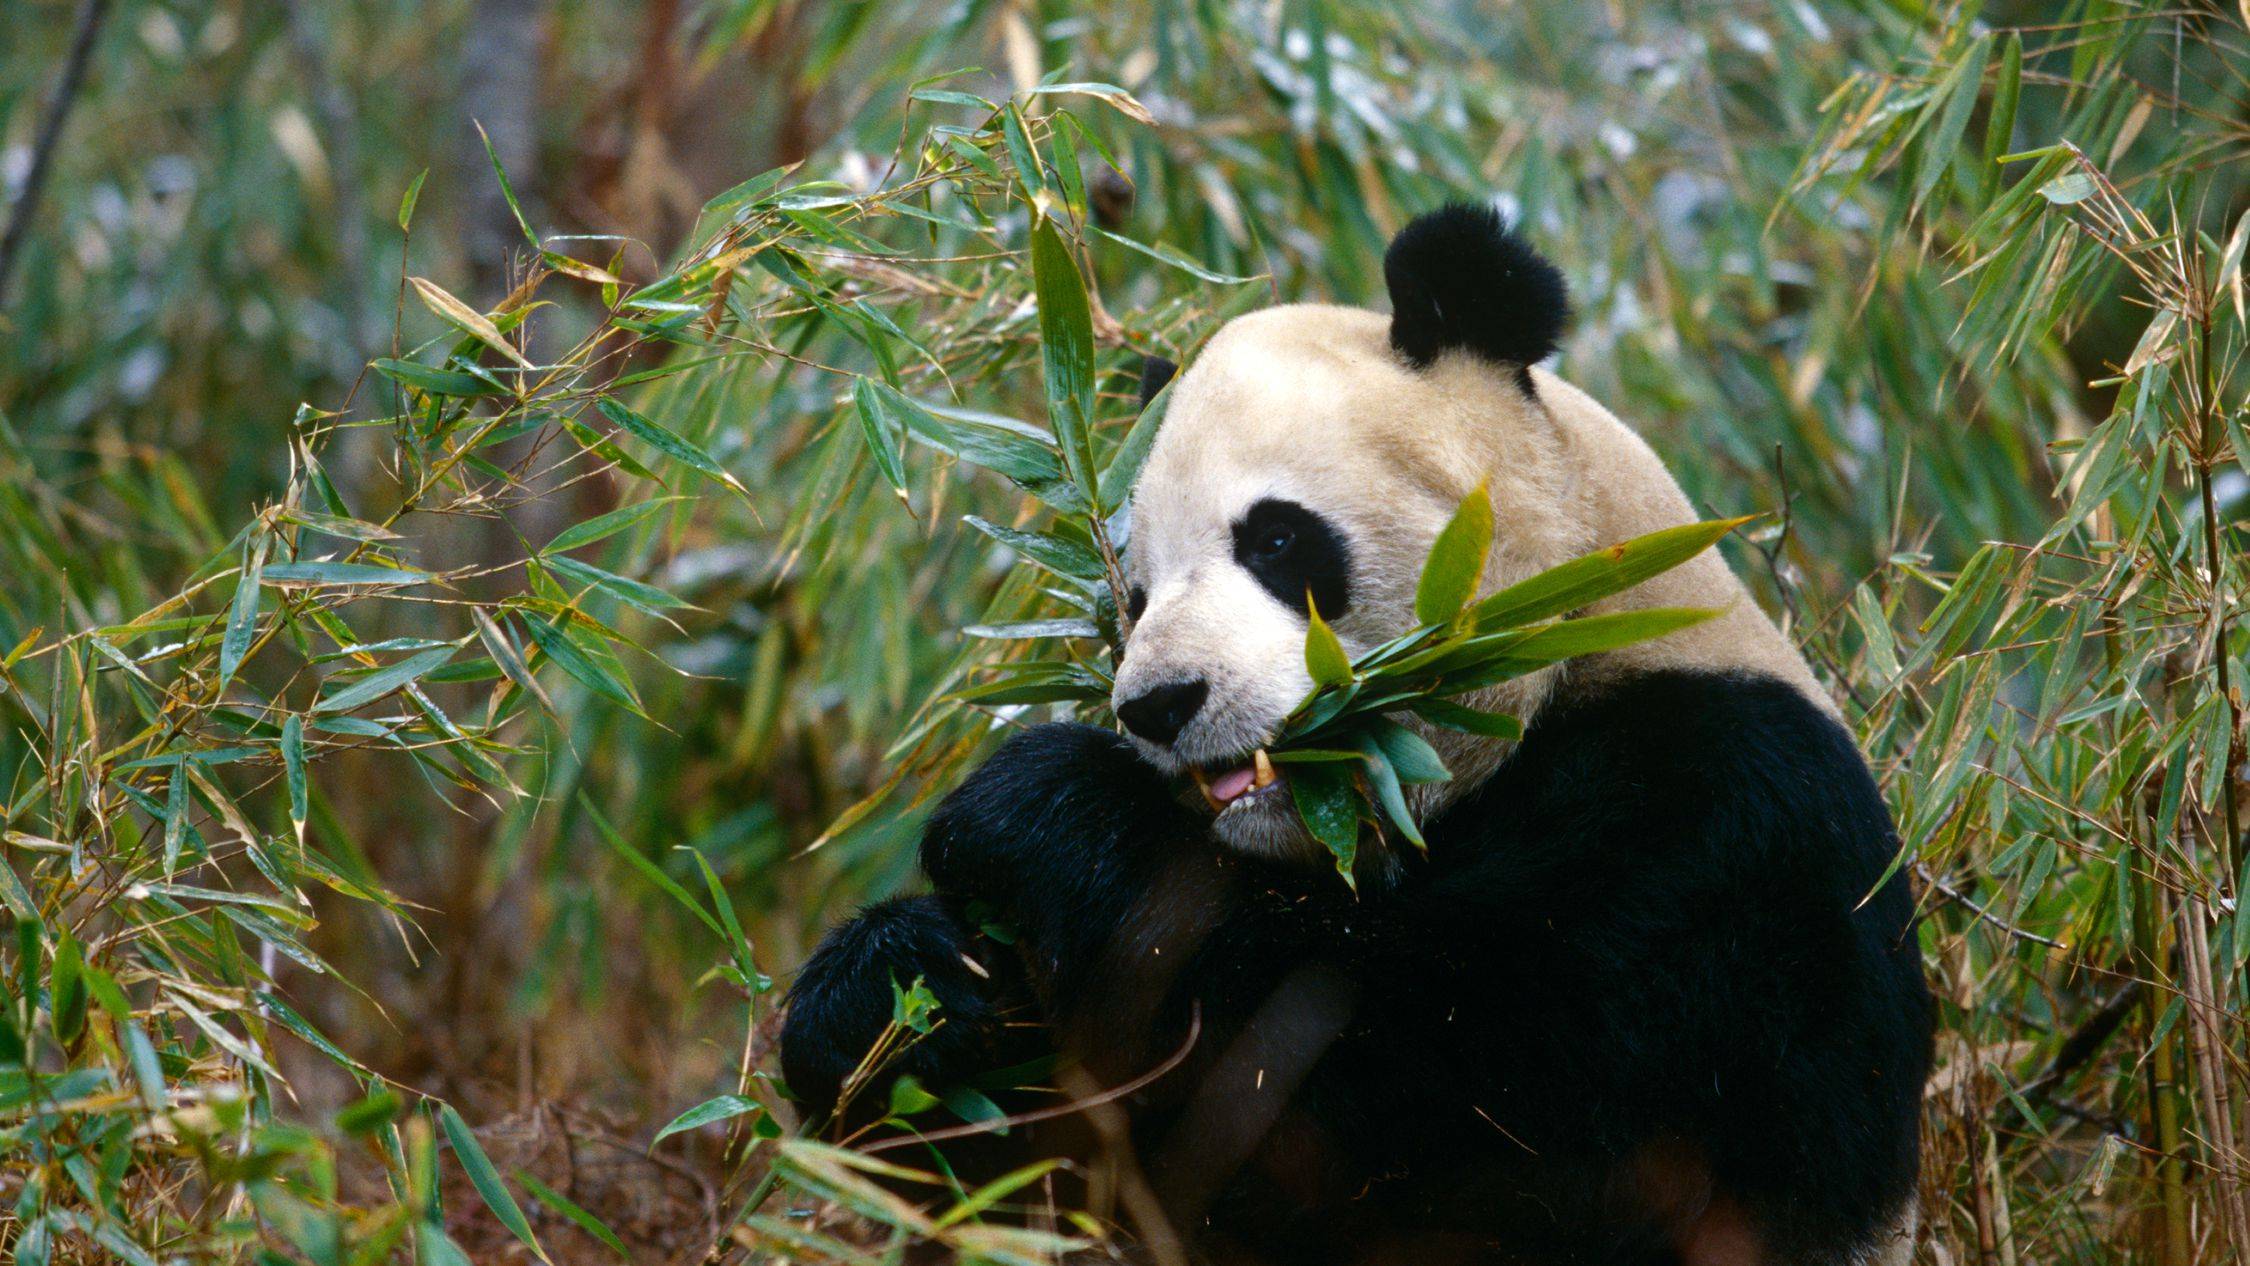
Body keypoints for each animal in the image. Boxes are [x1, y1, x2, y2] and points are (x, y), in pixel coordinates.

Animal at [778, 208, 1935, 1266]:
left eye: (1277, 540)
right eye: (1134, 598)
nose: (1158, 704)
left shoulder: (1722, 831)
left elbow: (1427, 1085)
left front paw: (1036, 815)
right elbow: (1062, 1180)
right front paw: (897, 992)